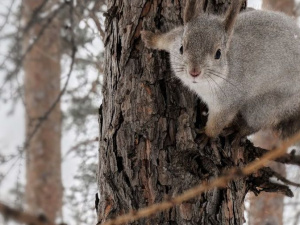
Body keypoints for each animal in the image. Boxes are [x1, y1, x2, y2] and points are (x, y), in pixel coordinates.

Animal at [141, 0, 300, 143]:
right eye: (181, 48)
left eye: (218, 54)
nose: (194, 72)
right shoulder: (176, 37)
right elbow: (167, 39)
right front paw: (151, 38)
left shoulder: (228, 101)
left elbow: (218, 122)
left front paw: (207, 135)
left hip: (265, 105)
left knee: (256, 123)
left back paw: (238, 129)